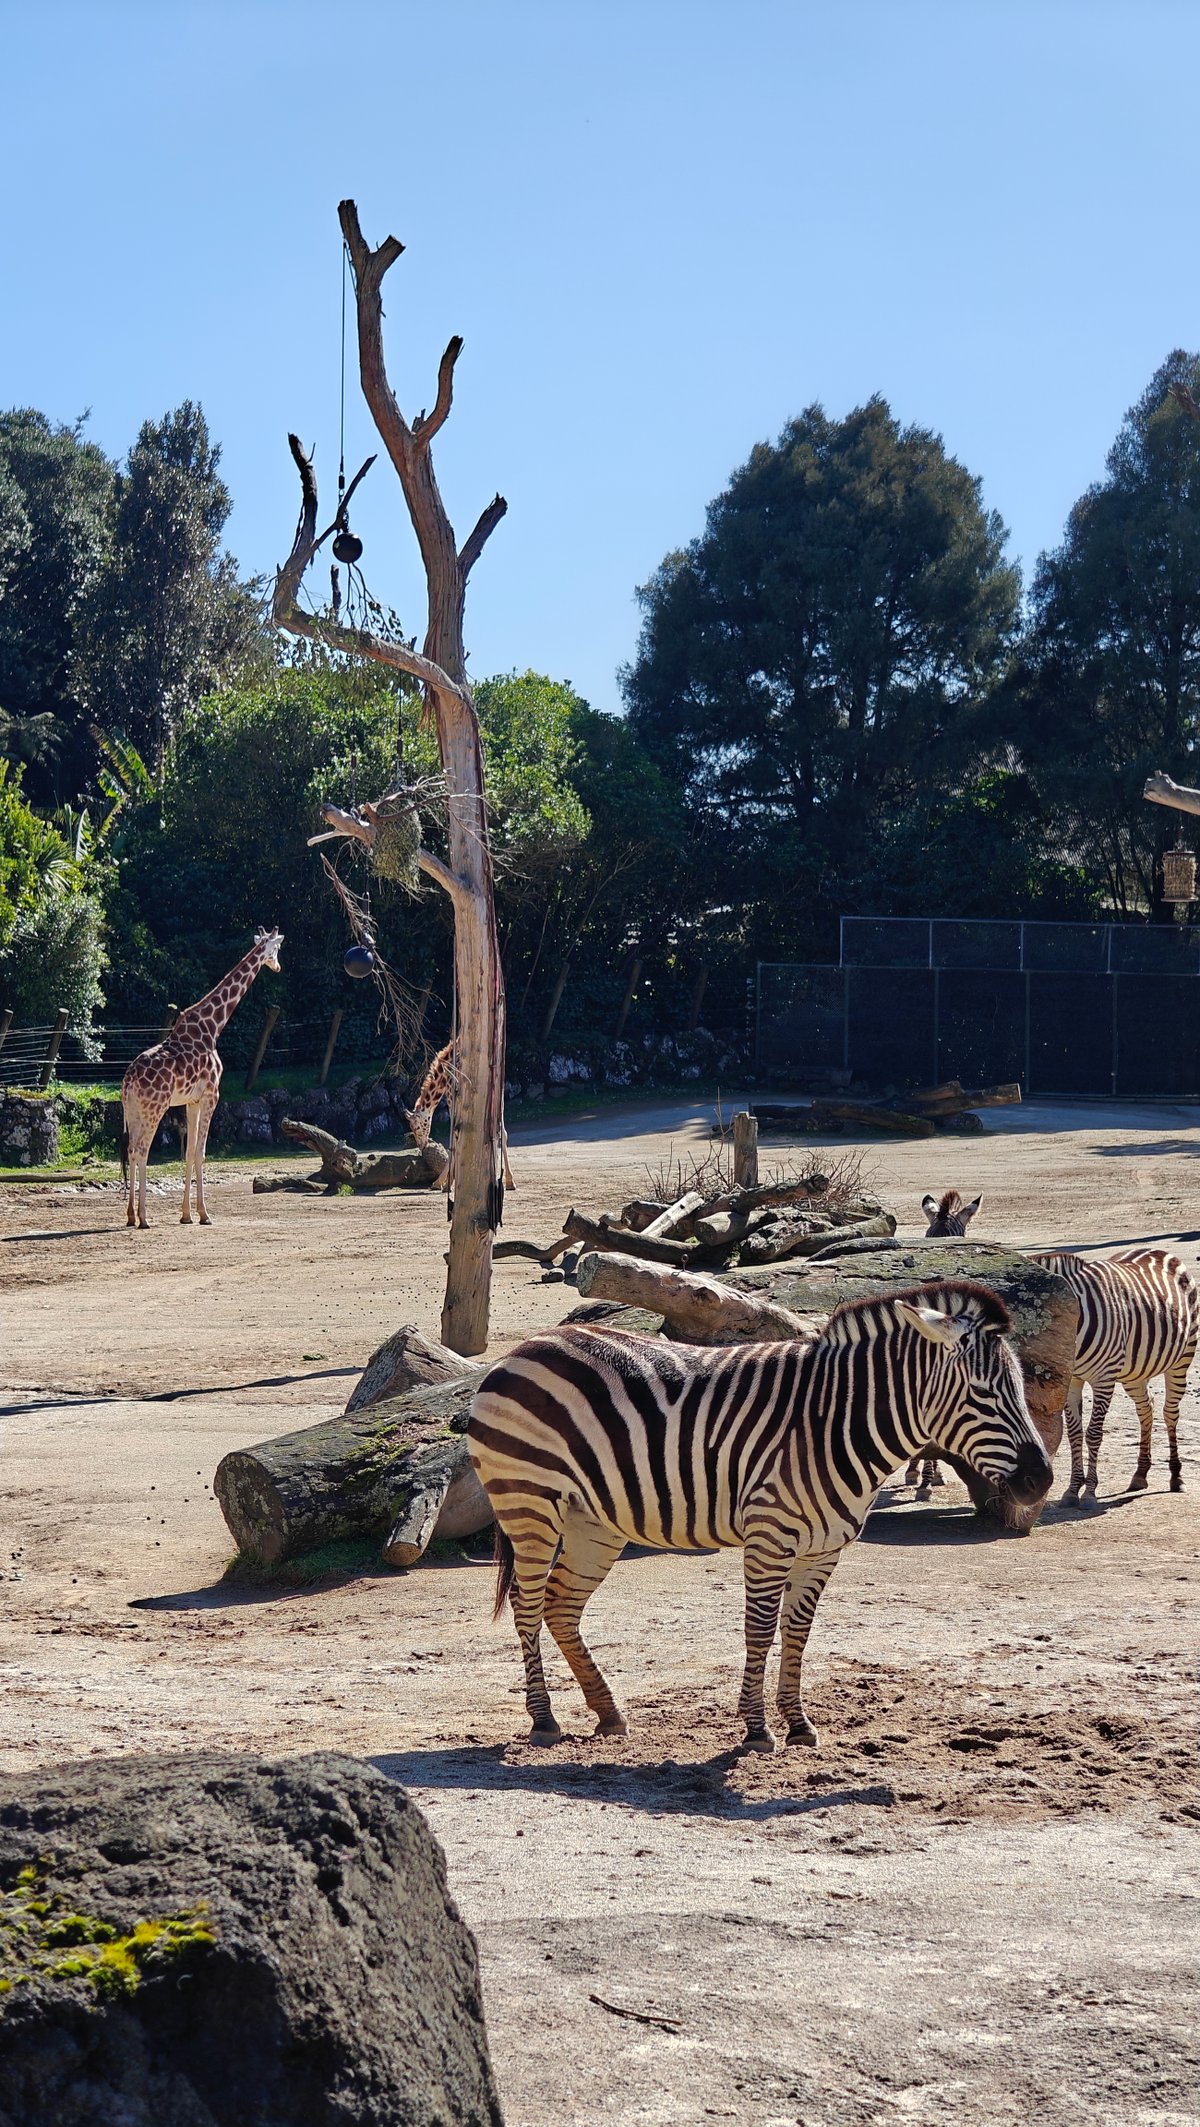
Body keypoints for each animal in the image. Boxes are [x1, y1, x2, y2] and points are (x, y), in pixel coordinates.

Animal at [467, 1280, 1052, 1752]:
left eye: (1021, 1387)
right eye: (982, 1393)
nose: (1041, 1481)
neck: (833, 1425)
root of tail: (524, 1348)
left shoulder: (824, 1548)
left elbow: (797, 1632)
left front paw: (799, 1724)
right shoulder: (769, 1537)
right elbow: (760, 1630)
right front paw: (756, 1729)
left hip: (593, 1521)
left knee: (561, 1605)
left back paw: (609, 1713)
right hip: (529, 1502)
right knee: (527, 1602)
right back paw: (544, 1721)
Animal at [1028, 1247, 1197, 1505]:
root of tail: (1159, 1251)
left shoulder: (1104, 1379)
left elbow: (1094, 1433)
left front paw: (1089, 1492)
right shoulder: (1072, 1380)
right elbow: (1074, 1434)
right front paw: (1072, 1490)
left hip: (1181, 1359)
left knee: (1170, 1413)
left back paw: (1176, 1476)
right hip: (1134, 1372)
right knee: (1146, 1408)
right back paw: (1140, 1474)